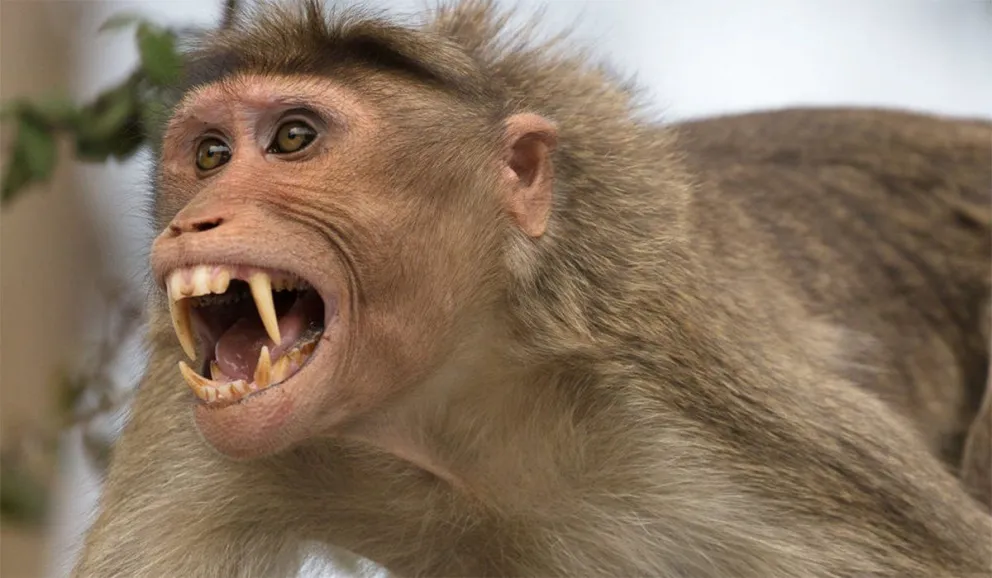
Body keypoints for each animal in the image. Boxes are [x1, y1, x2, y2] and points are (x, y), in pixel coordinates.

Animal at [71, 1, 992, 577]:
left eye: (293, 138)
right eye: (211, 154)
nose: (194, 221)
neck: (452, 411)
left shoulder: (700, 396)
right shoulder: (186, 432)